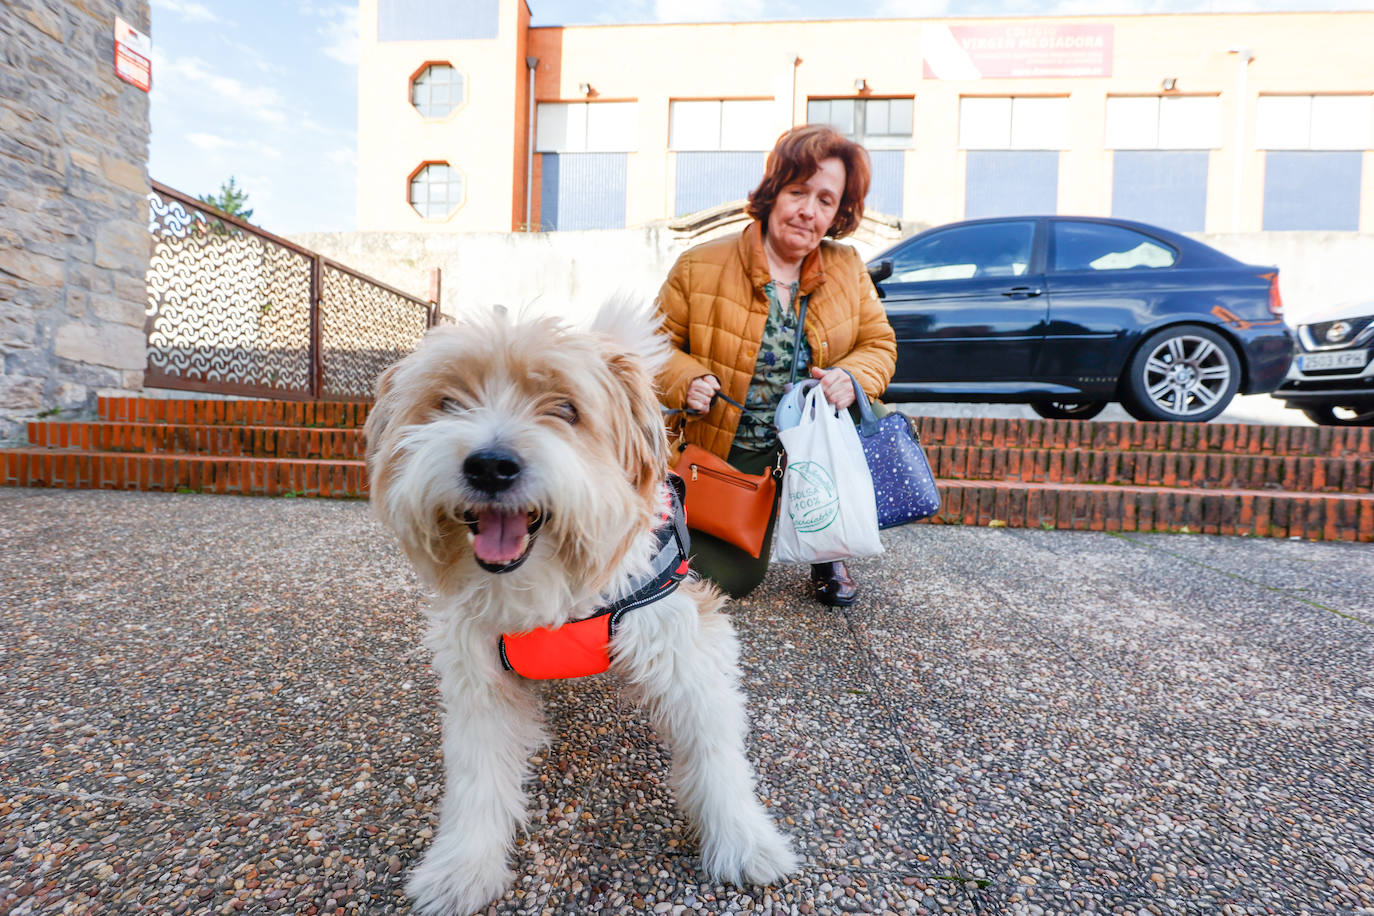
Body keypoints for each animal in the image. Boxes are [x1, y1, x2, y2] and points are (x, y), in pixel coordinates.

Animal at [359, 302, 802, 916]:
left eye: (565, 410)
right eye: (448, 403)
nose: (490, 466)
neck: (554, 590)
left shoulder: (683, 645)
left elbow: (716, 752)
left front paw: (744, 842)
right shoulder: (479, 674)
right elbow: (477, 773)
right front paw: (461, 869)